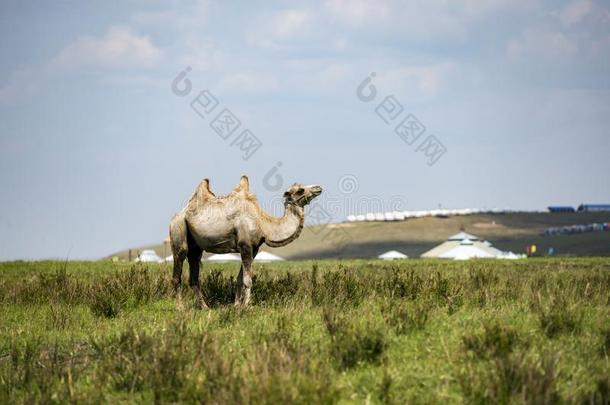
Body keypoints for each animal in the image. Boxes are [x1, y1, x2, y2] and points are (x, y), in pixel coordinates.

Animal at [166, 175, 318, 308]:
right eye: (300, 190)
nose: (318, 188)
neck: (263, 224)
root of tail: (178, 215)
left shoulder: (254, 248)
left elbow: (240, 279)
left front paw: (237, 305)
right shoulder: (245, 245)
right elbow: (248, 280)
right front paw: (247, 306)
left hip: (196, 247)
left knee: (194, 276)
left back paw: (205, 307)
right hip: (178, 229)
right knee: (177, 271)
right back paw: (180, 308)